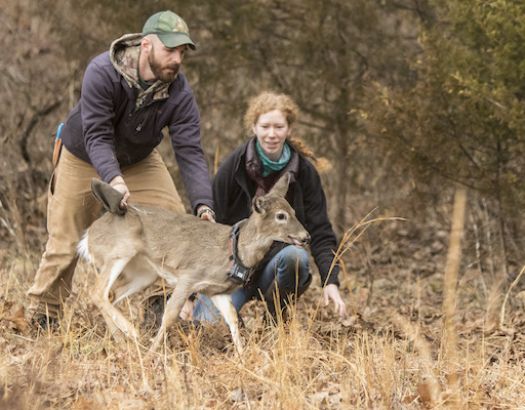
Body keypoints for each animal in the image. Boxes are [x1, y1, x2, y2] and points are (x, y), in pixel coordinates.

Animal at [75, 174, 310, 356]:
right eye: (281, 216)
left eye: (294, 211)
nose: (306, 236)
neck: (232, 252)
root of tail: (88, 235)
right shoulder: (188, 277)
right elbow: (169, 315)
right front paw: (152, 354)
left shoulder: (217, 291)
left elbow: (232, 319)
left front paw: (243, 357)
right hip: (118, 252)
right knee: (97, 292)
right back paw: (131, 332)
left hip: (145, 272)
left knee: (112, 295)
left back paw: (119, 340)